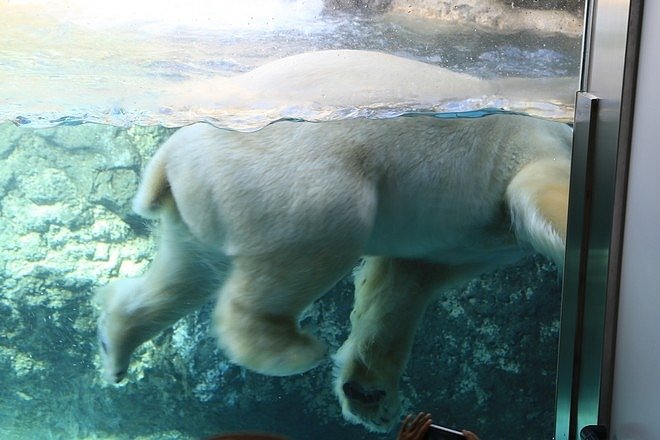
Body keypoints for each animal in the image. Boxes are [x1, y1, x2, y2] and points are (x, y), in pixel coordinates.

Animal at [95, 111, 568, 432]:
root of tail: (169, 155)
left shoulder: (453, 247)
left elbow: (401, 282)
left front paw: (370, 394)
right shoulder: (530, 144)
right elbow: (546, 186)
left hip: (200, 202)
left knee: (185, 272)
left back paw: (115, 340)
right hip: (295, 180)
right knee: (317, 239)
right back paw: (290, 349)